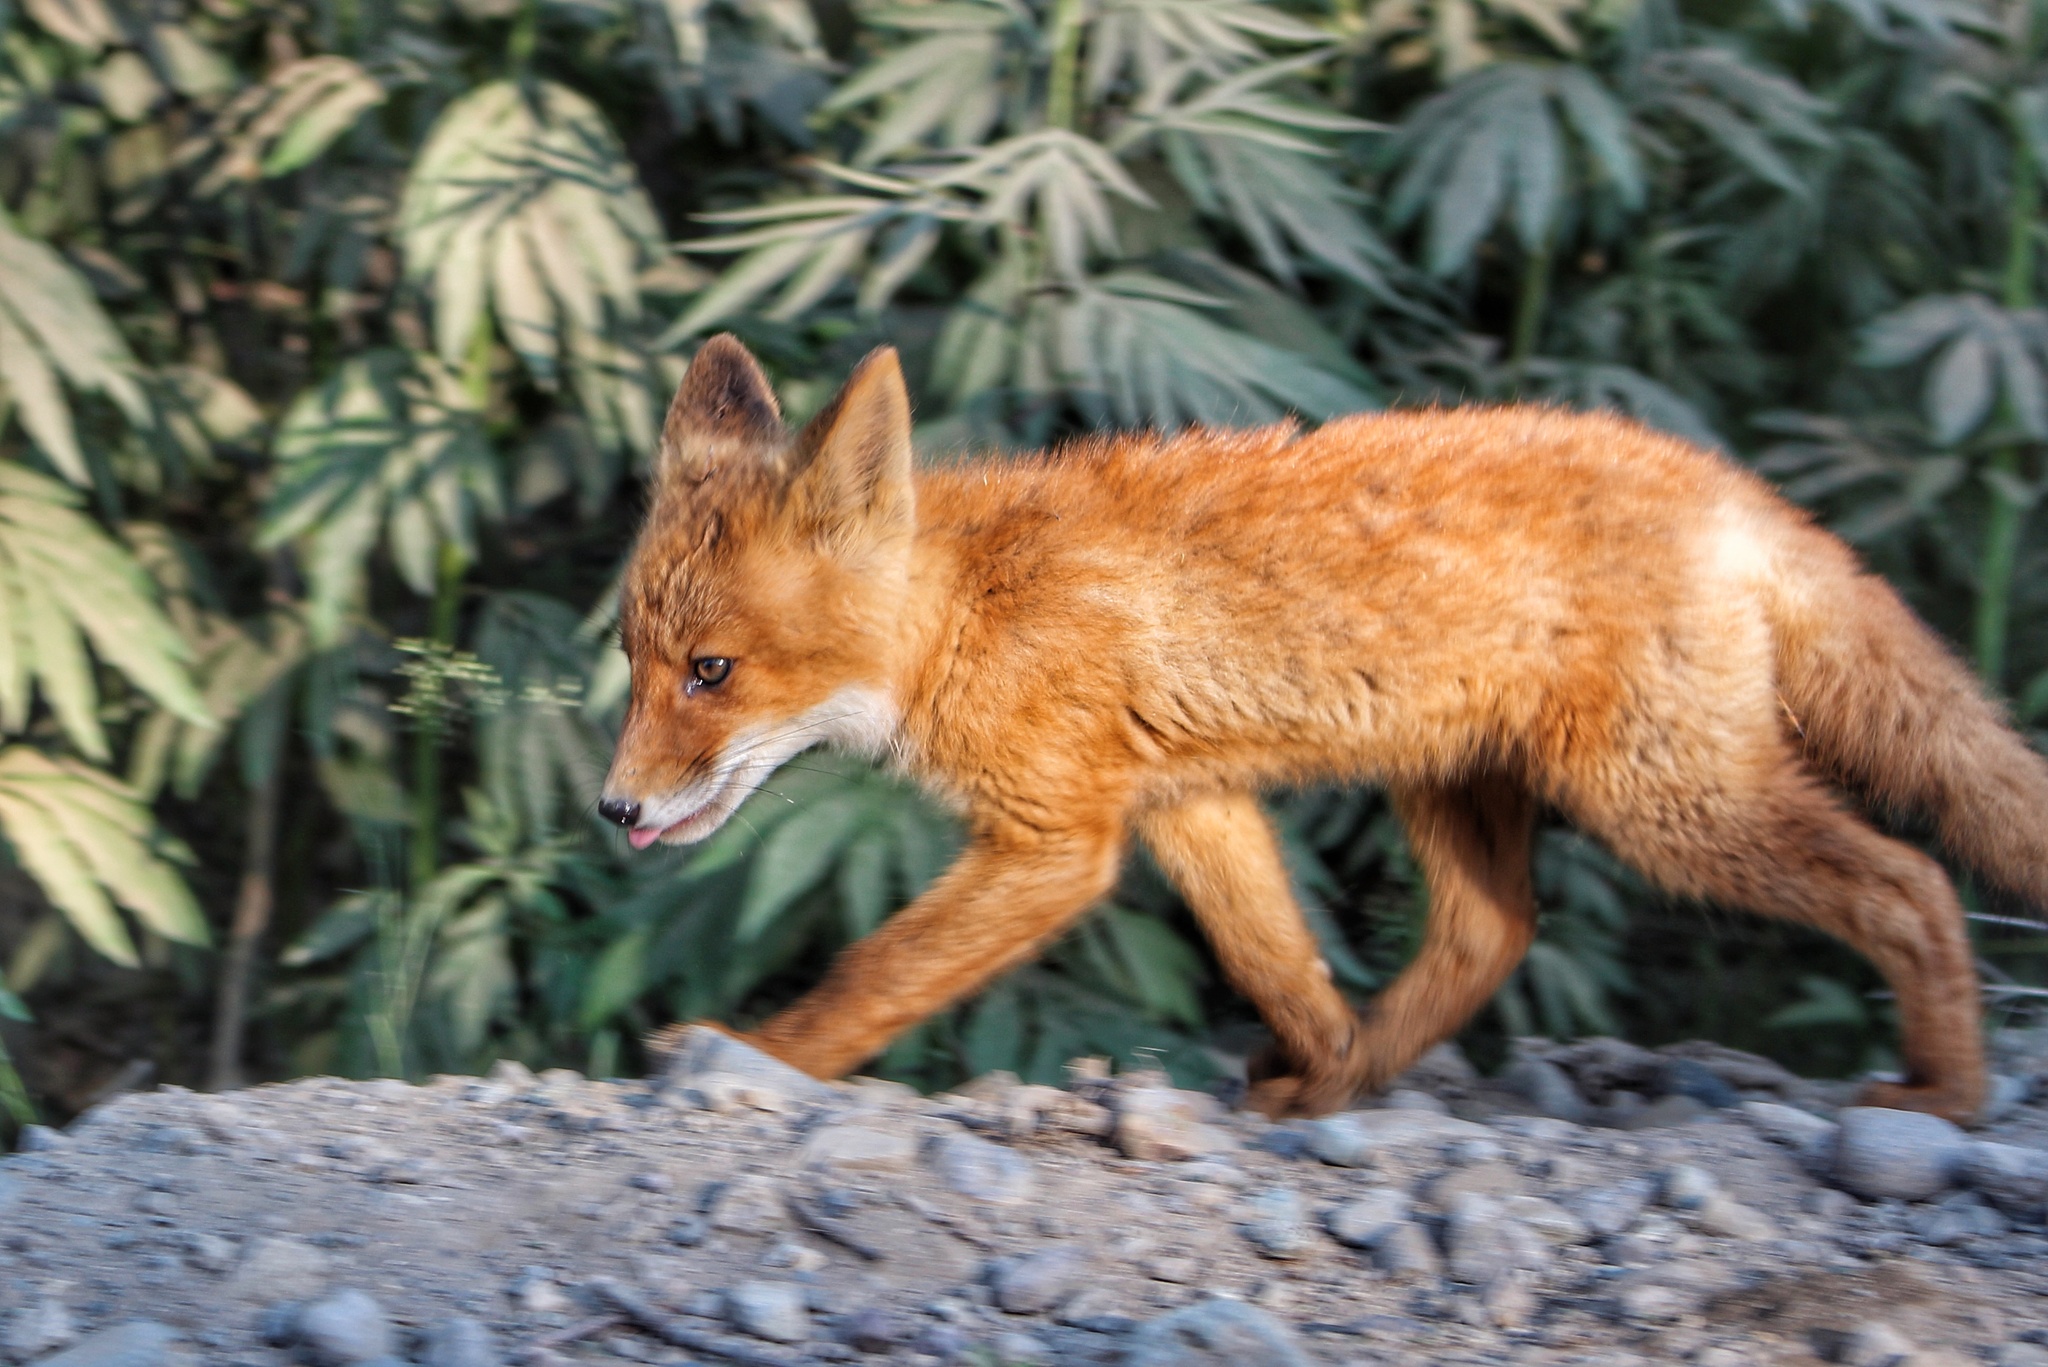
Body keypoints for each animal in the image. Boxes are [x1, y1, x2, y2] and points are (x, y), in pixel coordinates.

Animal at [598, 332, 2048, 1123]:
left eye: (713, 671)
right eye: (634, 660)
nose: (612, 809)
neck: (973, 610)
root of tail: (1728, 484)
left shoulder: (1055, 840)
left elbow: (869, 975)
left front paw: (749, 1059)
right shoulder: (1184, 803)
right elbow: (1281, 962)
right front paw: (1322, 1068)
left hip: (1668, 804)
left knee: (1912, 882)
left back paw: (1946, 1095)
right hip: (1460, 784)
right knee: (1491, 932)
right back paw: (1350, 1083)